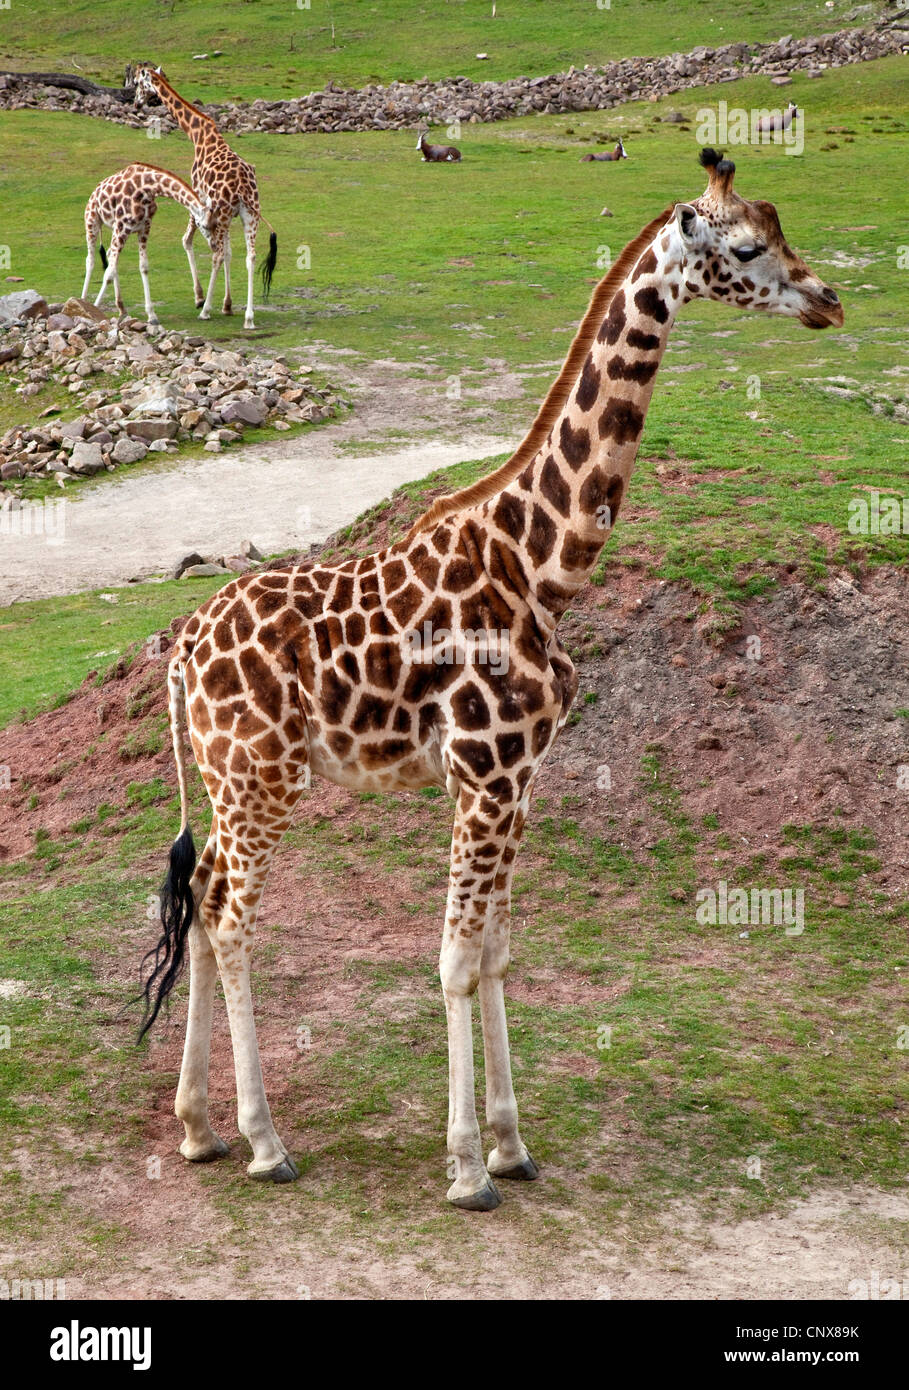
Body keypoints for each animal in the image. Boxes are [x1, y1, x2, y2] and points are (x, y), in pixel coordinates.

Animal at [82, 163, 213, 326]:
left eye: (215, 224)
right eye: (205, 225)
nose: (214, 244)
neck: (147, 188)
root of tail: (94, 192)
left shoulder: (144, 228)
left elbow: (143, 267)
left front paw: (152, 315)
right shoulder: (122, 227)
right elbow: (108, 274)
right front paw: (95, 307)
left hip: (114, 229)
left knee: (110, 257)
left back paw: (122, 309)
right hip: (93, 222)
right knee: (91, 260)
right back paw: (83, 301)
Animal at [127, 63, 277, 330]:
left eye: (137, 83)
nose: (136, 104)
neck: (197, 134)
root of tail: (242, 186)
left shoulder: (197, 197)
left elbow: (188, 241)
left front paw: (200, 298)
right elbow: (229, 251)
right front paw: (227, 305)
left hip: (226, 212)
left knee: (216, 254)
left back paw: (206, 310)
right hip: (250, 214)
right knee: (249, 256)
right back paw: (249, 317)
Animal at [139, 149, 843, 1208]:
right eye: (751, 247)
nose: (827, 300)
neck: (540, 566)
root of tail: (183, 646)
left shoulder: (520, 779)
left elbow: (500, 952)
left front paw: (512, 1143)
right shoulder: (481, 774)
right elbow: (456, 962)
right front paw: (468, 1167)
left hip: (231, 781)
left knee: (200, 889)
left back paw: (197, 1129)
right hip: (263, 776)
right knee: (227, 914)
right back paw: (263, 1140)